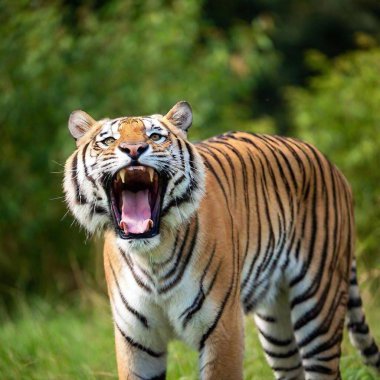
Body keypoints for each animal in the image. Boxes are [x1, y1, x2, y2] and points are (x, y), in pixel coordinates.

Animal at [63, 101, 378, 380]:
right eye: (108, 140)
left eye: (155, 136)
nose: (133, 149)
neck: (152, 257)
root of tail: (332, 165)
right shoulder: (136, 340)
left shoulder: (223, 328)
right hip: (277, 324)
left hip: (319, 306)